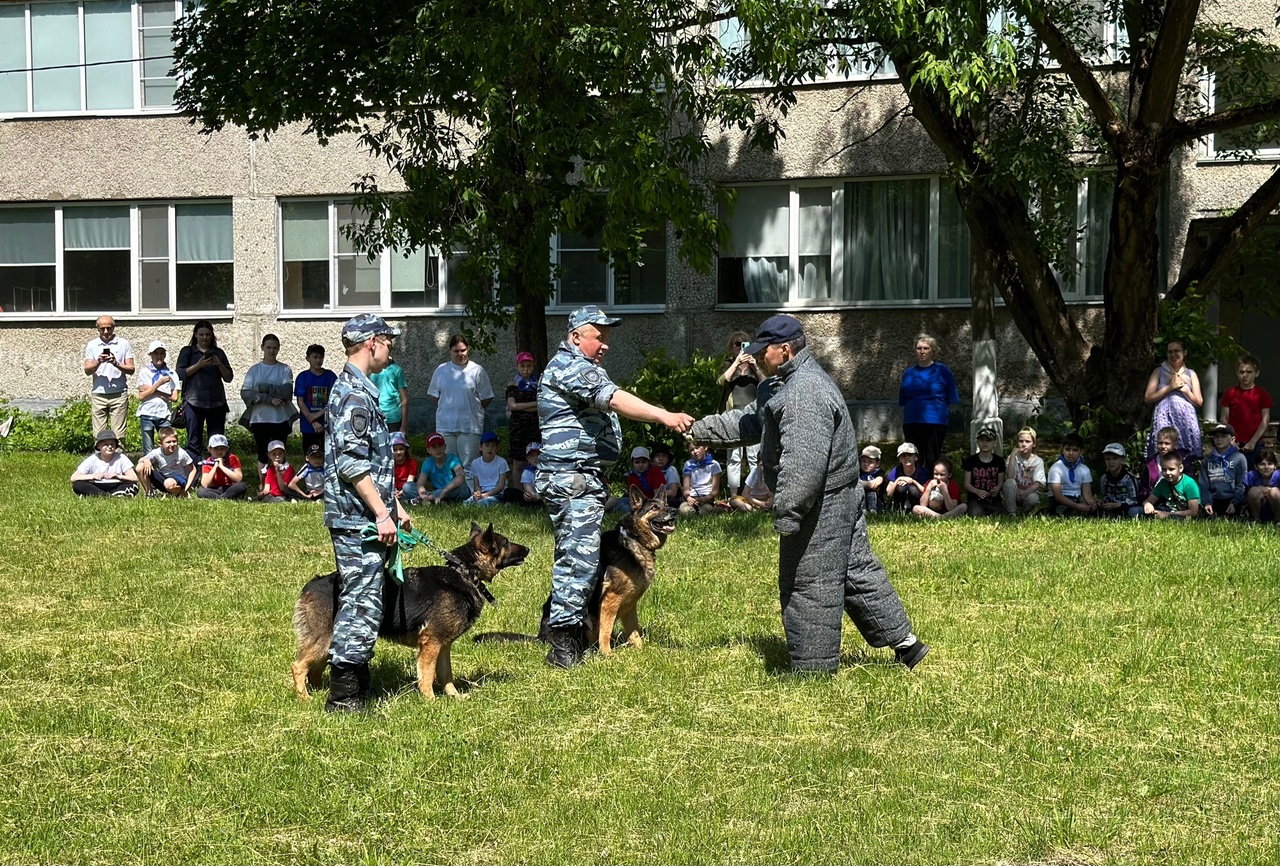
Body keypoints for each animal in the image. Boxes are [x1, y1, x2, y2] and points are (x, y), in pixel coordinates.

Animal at [293, 519, 527, 695]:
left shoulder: (443, 646)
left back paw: (321, 692)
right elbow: (427, 675)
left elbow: (446, 674)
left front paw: (454, 697)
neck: (465, 572)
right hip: (325, 640)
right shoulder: (431, 643)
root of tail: (312, 584)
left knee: (314, 671)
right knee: (299, 667)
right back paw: (305, 698)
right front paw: (430, 701)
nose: (528, 548)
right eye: (506, 543)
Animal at [478, 486, 680, 654]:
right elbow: (606, 632)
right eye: (654, 507)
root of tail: (540, 637)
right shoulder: (610, 600)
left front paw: (641, 651)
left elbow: (635, 633)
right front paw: (608, 655)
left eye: (666, 505)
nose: (674, 511)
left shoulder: (629, 605)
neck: (634, 539)